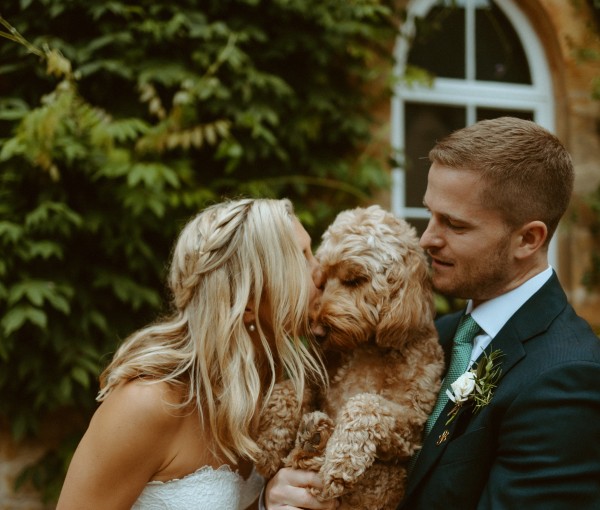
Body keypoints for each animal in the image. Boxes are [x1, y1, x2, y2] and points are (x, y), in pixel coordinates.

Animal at [253, 205, 446, 508]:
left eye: (354, 280)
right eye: (321, 282)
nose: (317, 331)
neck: (365, 346)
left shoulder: (411, 424)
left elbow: (364, 403)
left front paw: (341, 459)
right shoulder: (316, 377)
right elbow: (289, 389)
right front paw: (269, 442)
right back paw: (313, 436)